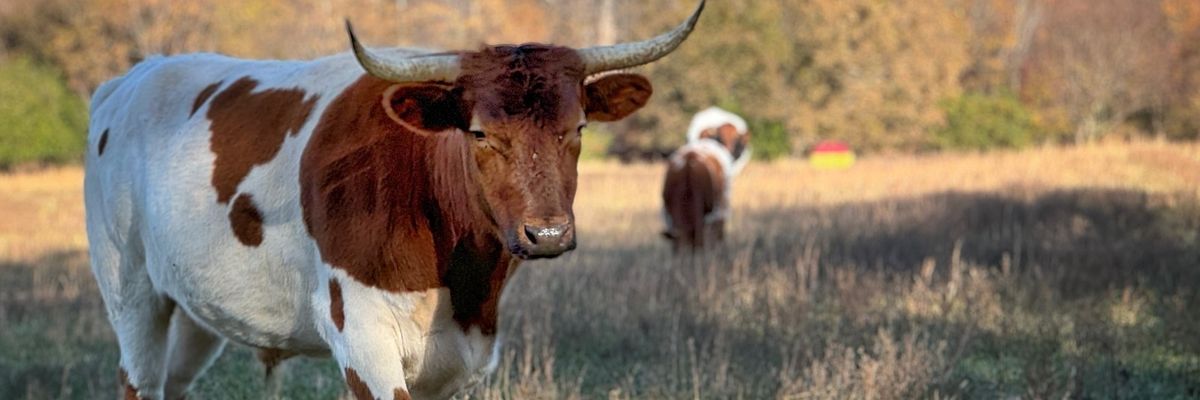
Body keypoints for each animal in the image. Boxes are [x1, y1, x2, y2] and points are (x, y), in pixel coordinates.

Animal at [84, 2, 705, 399]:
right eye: (479, 133)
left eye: (577, 127)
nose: (547, 234)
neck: (459, 282)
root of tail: (131, 78)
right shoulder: (364, 342)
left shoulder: (459, 358)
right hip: (131, 291)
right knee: (139, 379)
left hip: (197, 309)